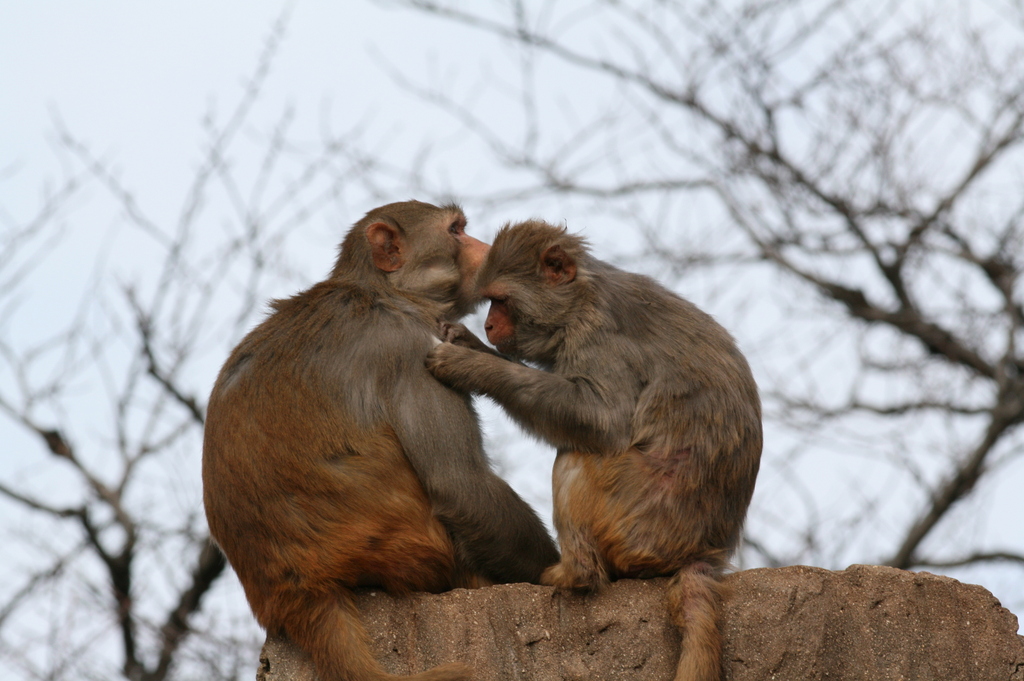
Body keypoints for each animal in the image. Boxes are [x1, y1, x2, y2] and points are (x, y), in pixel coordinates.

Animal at [201, 201, 561, 679]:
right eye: (456, 231)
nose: (485, 249)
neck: (384, 292)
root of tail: (298, 596)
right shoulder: (411, 348)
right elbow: (460, 483)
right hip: (417, 552)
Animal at [423, 220, 761, 675]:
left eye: (501, 301)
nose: (490, 326)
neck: (580, 297)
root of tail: (702, 553)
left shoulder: (599, 335)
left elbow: (603, 418)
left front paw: (469, 365)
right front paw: (468, 342)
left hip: (634, 522)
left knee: (578, 454)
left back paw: (574, 573)